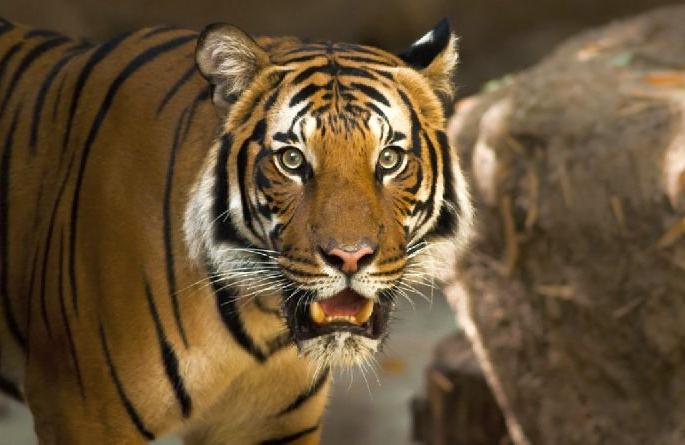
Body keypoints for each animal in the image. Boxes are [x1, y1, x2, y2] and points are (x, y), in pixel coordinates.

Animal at [0, 15, 473, 445]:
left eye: (390, 159)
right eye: (292, 160)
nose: (350, 257)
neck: (258, 319)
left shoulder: (272, 425)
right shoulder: (83, 414)